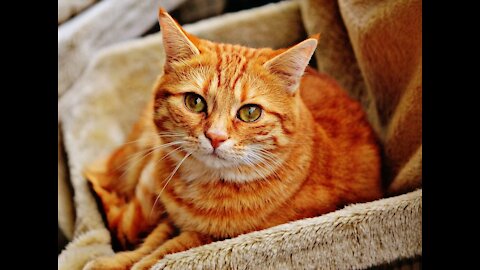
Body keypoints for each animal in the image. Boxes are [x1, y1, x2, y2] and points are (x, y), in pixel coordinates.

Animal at [83, 8, 382, 270]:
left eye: (250, 112)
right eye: (194, 102)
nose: (215, 137)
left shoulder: (212, 238)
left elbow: (169, 250)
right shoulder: (172, 217)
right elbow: (152, 241)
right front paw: (117, 261)